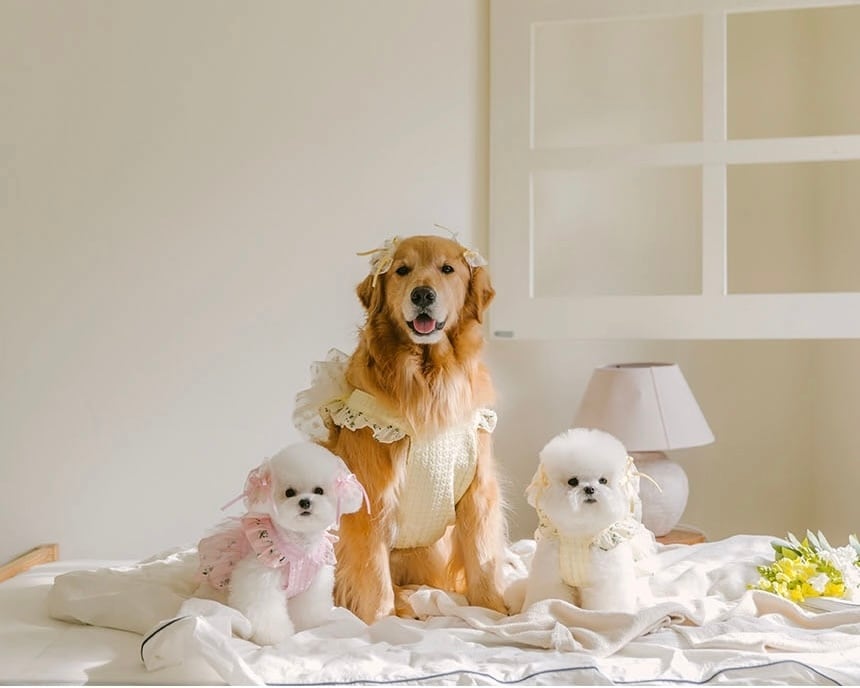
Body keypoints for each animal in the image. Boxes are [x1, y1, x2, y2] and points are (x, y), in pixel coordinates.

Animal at [196, 442, 367, 645]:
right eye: (289, 492)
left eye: (319, 490)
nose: (305, 502)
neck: (299, 542)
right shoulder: (260, 579)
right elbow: (265, 610)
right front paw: (274, 637)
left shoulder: (312, 586)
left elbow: (308, 609)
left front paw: (306, 628)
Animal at [293, 234, 508, 624]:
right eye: (401, 270)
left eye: (447, 269)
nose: (422, 294)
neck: (427, 377)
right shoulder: (371, 494)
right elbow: (373, 572)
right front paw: (381, 622)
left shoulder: (478, 488)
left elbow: (482, 557)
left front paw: (494, 611)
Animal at [523, 428, 652, 613]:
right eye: (573, 481)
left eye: (603, 480)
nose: (590, 489)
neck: (579, 532)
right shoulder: (551, 579)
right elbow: (549, 596)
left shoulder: (606, 581)